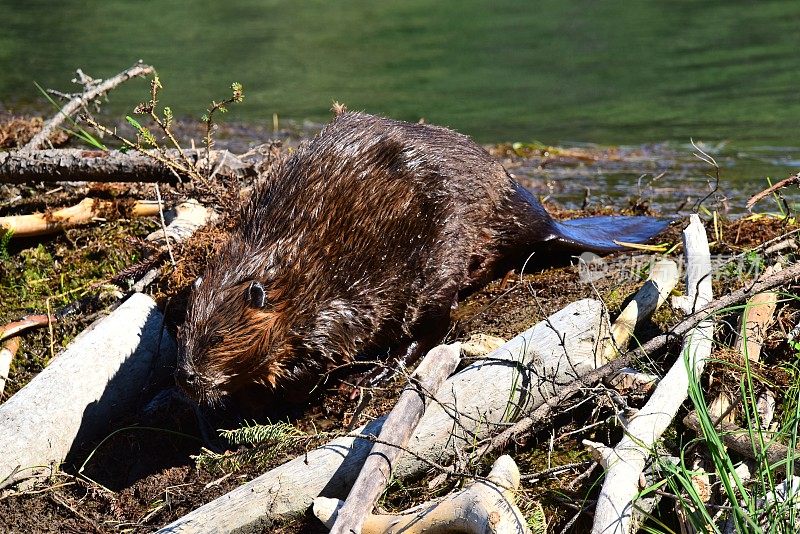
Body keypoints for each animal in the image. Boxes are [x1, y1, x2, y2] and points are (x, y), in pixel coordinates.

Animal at [177, 113, 668, 406]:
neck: (283, 266)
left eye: (216, 338)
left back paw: (376, 373)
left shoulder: (334, 295)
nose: (187, 379)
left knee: (432, 327)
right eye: (185, 336)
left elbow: (331, 342)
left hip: (440, 253)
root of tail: (542, 220)